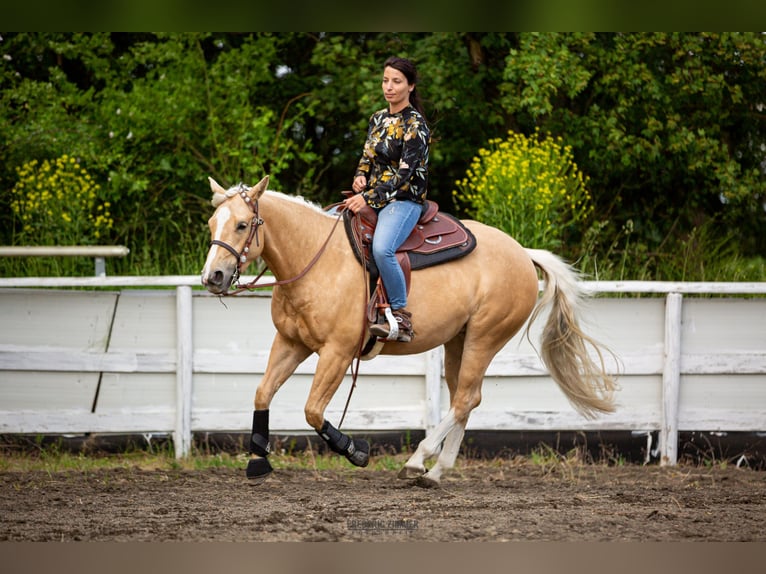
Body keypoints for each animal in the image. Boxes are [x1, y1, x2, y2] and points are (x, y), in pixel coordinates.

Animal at [200, 174, 616, 486]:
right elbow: (262, 392)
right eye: (212, 224)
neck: (315, 258)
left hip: (485, 337)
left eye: (242, 224)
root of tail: (523, 253)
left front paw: (356, 451)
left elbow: (313, 411)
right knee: (467, 399)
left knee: (464, 399)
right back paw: (435, 473)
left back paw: (418, 461)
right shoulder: (290, 342)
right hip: (459, 341)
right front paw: (258, 462)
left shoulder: (337, 352)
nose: (212, 276)